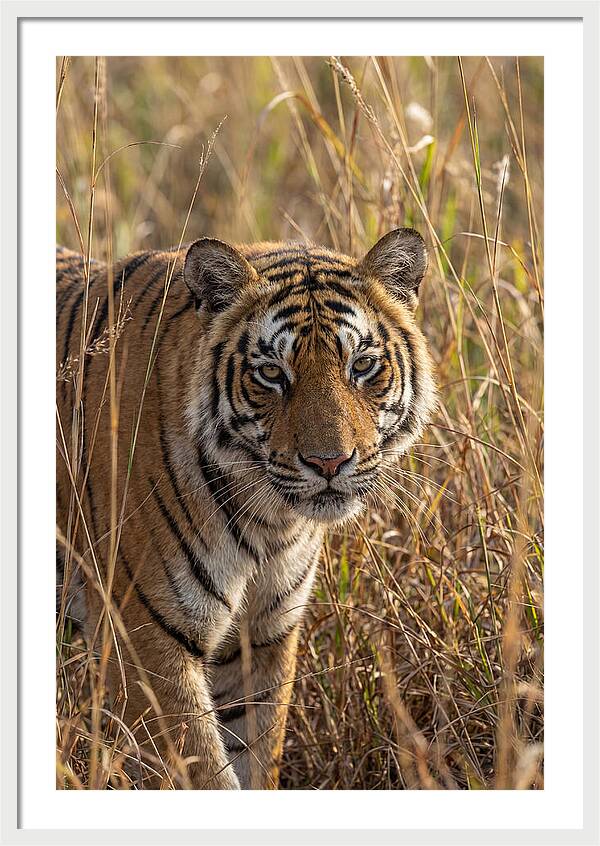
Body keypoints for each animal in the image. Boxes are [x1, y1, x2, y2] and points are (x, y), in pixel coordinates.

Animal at [56, 228, 437, 790]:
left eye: (363, 366)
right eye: (272, 373)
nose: (329, 462)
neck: (269, 523)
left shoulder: (262, 635)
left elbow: (256, 754)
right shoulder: (145, 640)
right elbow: (203, 773)